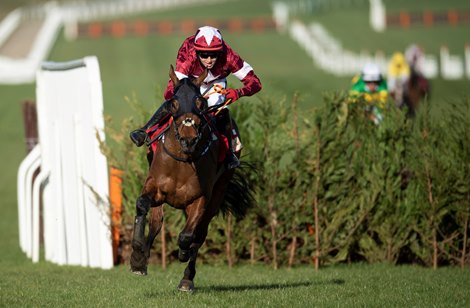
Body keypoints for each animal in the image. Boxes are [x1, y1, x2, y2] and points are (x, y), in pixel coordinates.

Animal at [129, 64, 253, 292]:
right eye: (173, 102)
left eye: (200, 102)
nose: (189, 138)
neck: (183, 161)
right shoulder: (155, 188)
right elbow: (142, 206)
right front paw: (137, 258)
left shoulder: (200, 199)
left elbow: (188, 236)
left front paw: (183, 254)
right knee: (157, 222)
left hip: (218, 191)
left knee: (199, 234)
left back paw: (187, 278)